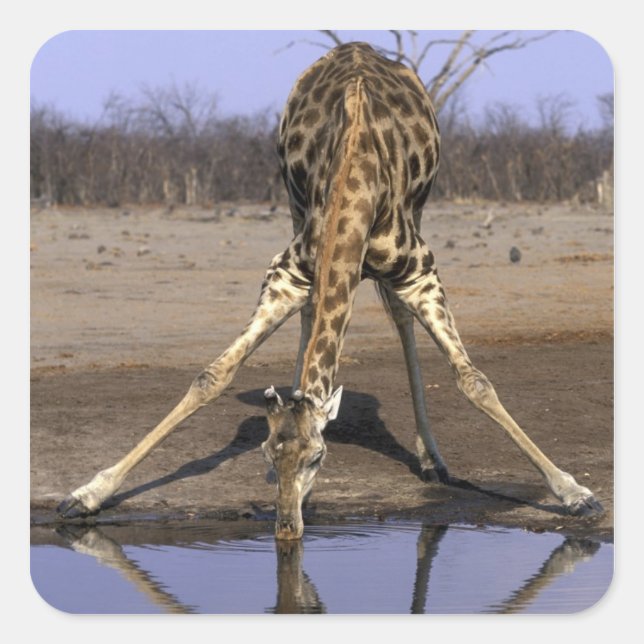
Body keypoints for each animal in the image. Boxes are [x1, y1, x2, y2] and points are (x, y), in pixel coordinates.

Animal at [58, 42, 603, 539]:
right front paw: (86, 494)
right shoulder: (288, 271)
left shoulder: (420, 271)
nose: (286, 528)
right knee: (314, 314)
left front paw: (576, 494)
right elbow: (212, 375)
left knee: (400, 320)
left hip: (417, 218)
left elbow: (475, 382)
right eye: (266, 454)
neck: (356, 175)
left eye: (319, 457)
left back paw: (432, 460)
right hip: (292, 202)